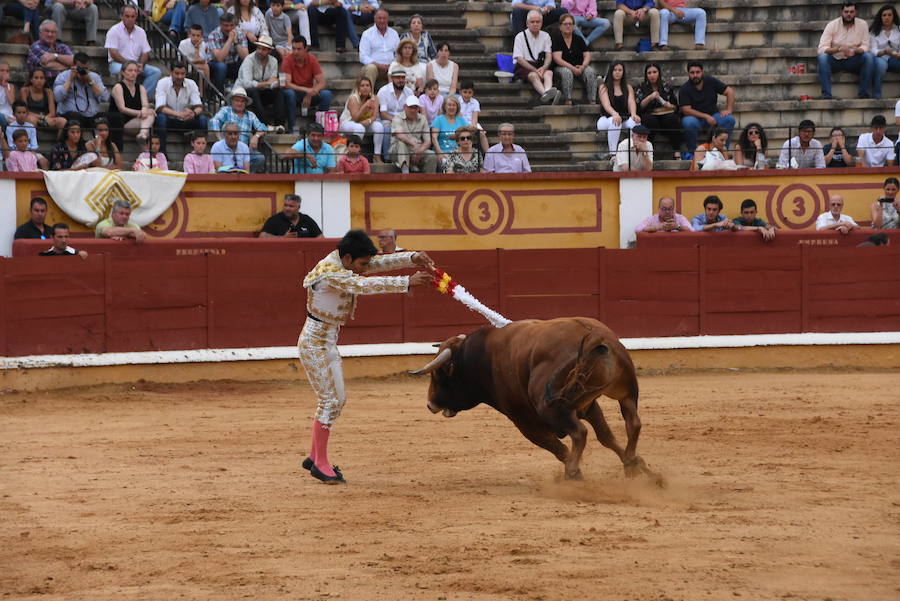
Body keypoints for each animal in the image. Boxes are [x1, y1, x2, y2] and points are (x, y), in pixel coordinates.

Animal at [414, 314, 660, 482]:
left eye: (438, 375)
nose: (429, 404)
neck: (482, 356)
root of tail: (592, 336)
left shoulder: (523, 419)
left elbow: (556, 447)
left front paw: (577, 470)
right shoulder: (589, 405)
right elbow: (606, 436)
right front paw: (636, 465)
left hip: (549, 408)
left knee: (579, 433)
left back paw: (572, 473)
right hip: (625, 390)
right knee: (633, 423)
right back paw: (638, 466)